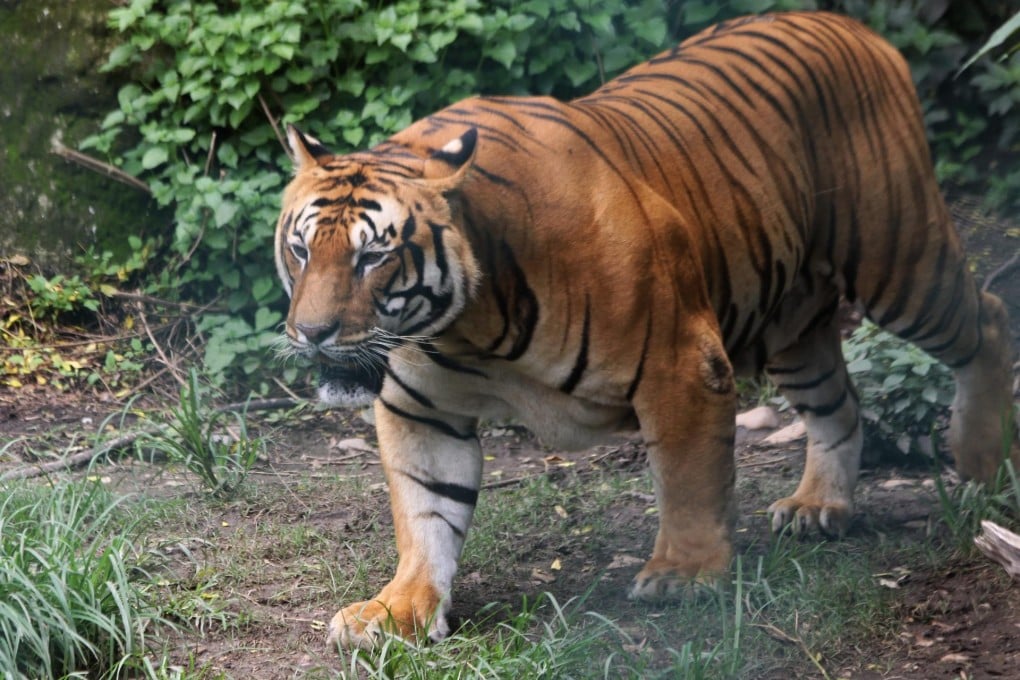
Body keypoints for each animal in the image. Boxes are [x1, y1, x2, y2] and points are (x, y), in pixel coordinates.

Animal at [274, 11, 1019, 649]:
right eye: (303, 249)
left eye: (373, 257)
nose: (311, 332)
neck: (470, 327)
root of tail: (848, 23)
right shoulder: (419, 408)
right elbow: (426, 513)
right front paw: (397, 609)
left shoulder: (681, 363)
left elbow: (688, 481)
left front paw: (685, 576)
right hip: (793, 324)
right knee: (840, 403)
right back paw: (819, 506)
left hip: (902, 261)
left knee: (986, 317)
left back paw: (984, 464)